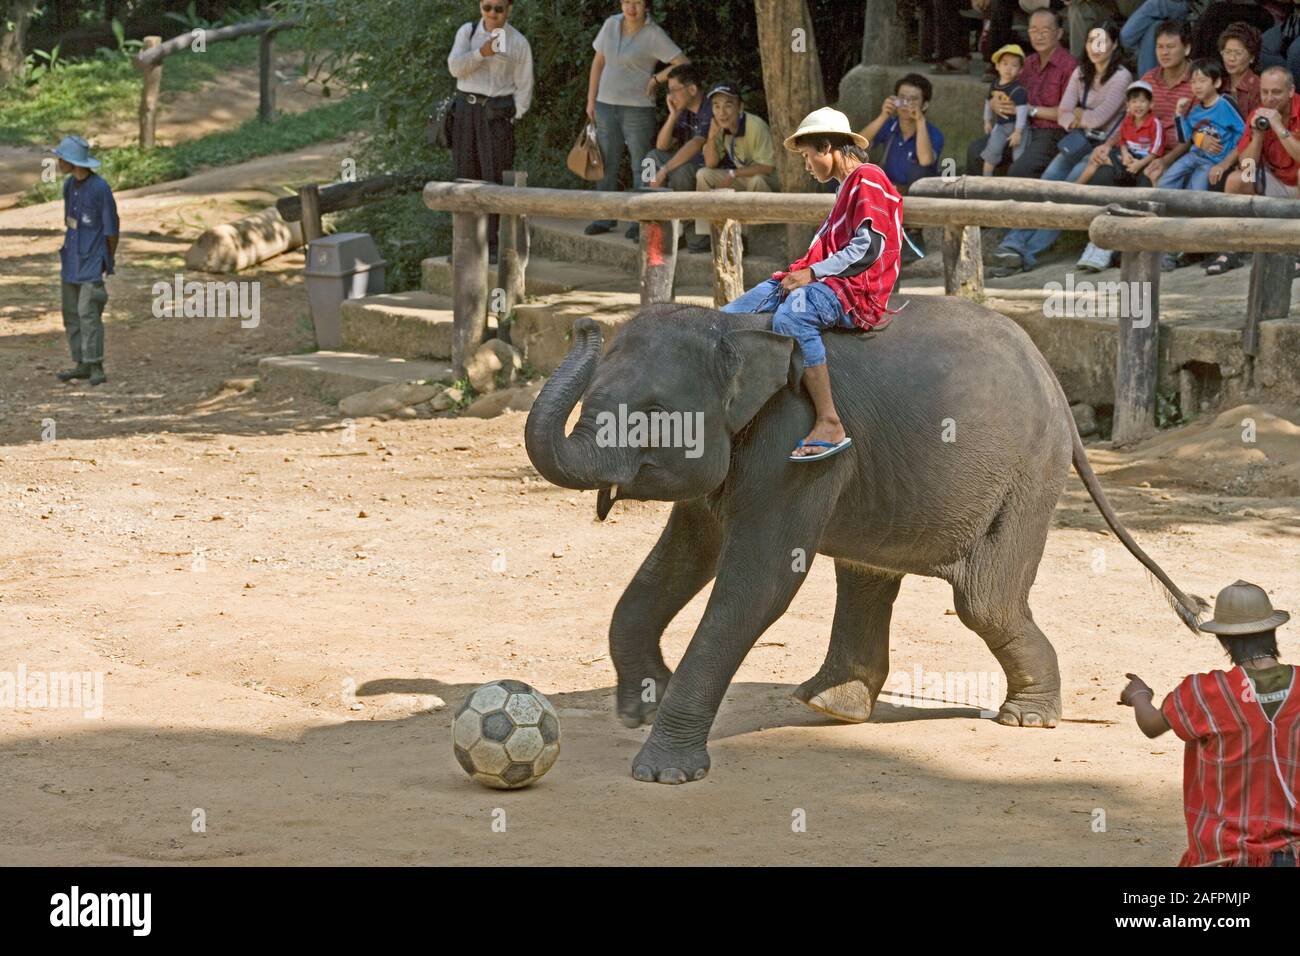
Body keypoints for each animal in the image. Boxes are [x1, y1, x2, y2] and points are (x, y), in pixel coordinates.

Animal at [520, 297, 1206, 785]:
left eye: (655, 415)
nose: (583, 322)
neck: (737, 327)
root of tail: (1055, 382)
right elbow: (683, 557)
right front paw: (640, 706)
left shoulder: (799, 444)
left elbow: (760, 581)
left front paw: (662, 771)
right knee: (869, 575)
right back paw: (832, 707)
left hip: (1028, 475)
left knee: (984, 604)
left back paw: (1026, 718)